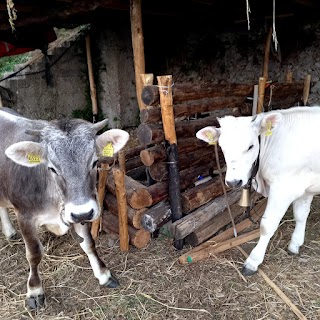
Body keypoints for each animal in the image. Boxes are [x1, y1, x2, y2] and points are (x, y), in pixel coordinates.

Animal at [0, 108, 129, 310]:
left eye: (95, 162)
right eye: (52, 168)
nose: (83, 212)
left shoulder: (78, 213)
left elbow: (88, 243)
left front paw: (103, 274)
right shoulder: (25, 216)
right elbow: (34, 254)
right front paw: (35, 290)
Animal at [198, 107, 320, 276]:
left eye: (250, 146)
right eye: (222, 147)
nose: (234, 181)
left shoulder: (283, 189)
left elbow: (267, 225)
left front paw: (253, 261)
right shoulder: (305, 186)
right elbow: (301, 215)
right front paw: (295, 244)